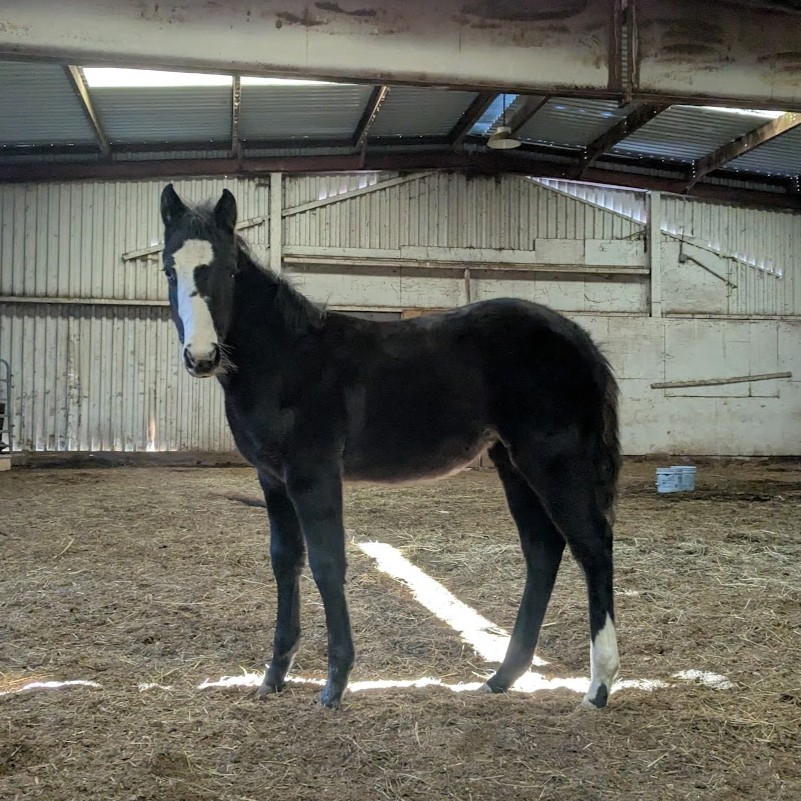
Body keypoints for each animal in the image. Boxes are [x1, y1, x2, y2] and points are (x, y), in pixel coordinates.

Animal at [159, 183, 622, 710]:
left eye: (229, 269)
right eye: (169, 268)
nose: (202, 357)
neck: (286, 359)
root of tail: (579, 338)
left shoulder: (313, 473)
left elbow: (327, 563)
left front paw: (335, 684)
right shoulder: (272, 479)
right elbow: (285, 561)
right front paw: (274, 676)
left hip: (554, 460)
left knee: (592, 547)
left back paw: (598, 686)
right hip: (513, 463)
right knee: (543, 548)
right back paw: (503, 677)